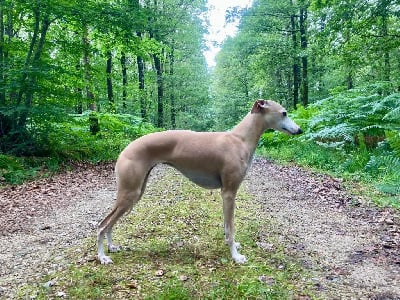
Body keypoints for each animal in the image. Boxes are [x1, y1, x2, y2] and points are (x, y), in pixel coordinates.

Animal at [97, 99, 304, 264]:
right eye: (284, 113)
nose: (300, 130)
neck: (240, 139)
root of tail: (124, 150)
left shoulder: (226, 194)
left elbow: (227, 228)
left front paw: (233, 246)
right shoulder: (229, 192)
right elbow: (231, 227)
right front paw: (236, 256)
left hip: (135, 192)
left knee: (109, 224)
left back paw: (111, 247)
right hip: (129, 193)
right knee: (101, 225)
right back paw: (102, 257)